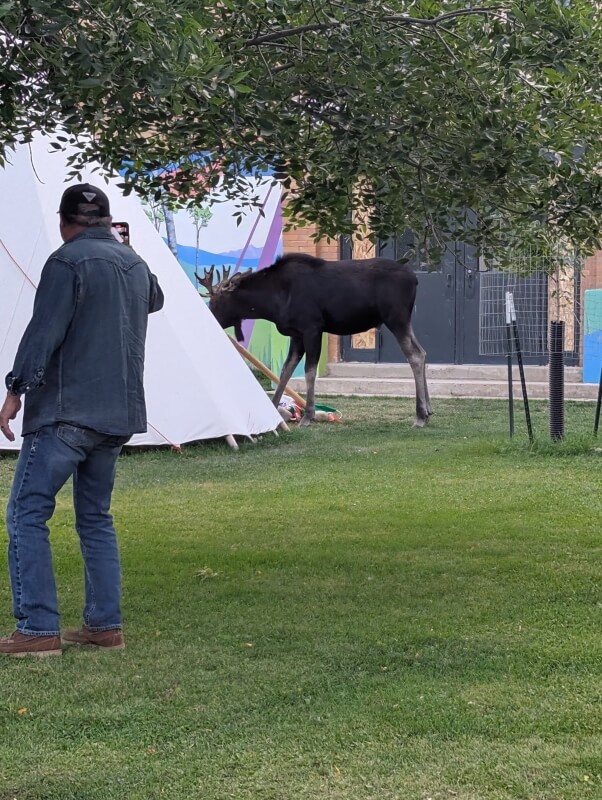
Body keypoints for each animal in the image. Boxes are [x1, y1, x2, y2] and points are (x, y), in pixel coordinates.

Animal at [197, 254, 432, 427]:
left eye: (216, 301)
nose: (208, 317)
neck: (271, 303)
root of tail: (415, 279)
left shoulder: (312, 328)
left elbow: (309, 370)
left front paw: (308, 416)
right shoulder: (296, 334)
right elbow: (285, 369)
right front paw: (275, 408)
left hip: (396, 318)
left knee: (414, 355)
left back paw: (420, 416)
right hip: (404, 320)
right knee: (422, 351)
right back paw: (429, 409)